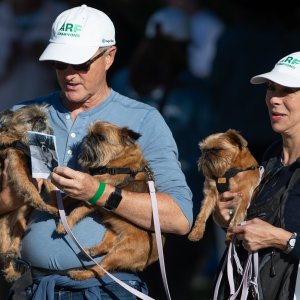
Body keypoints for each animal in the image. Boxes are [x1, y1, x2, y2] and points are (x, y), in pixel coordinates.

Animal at [0, 105, 58, 282]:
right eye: (30, 120)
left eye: (43, 118)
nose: (41, 121)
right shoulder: (15, 164)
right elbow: (28, 186)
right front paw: (41, 203)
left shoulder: (42, 170)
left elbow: (51, 187)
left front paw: (55, 206)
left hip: (21, 221)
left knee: (12, 242)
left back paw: (12, 253)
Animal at [55, 120, 164, 280]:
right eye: (90, 133)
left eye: (101, 138)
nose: (88, 138)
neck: (114, 162)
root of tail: (156, 254)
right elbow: (67, 198)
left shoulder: (92, 198)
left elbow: (76, 211)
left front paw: (64, 224)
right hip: (112, 230)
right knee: (106, 247)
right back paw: (93, 251)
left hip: (122, 251)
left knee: (101, 269)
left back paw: (80, 274)